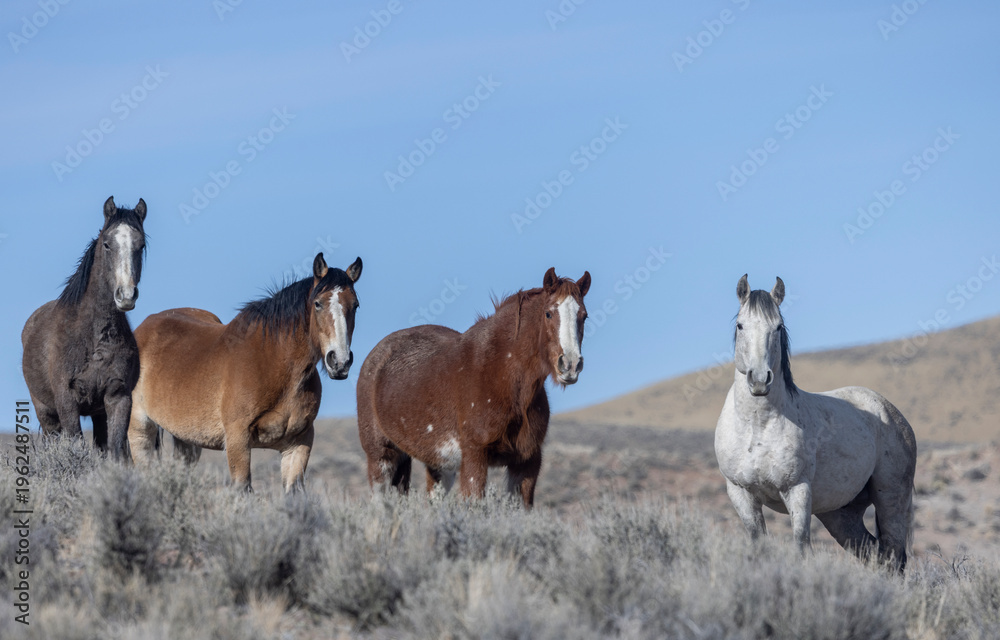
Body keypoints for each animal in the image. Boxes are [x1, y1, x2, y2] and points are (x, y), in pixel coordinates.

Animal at [21, 196, 147, 458]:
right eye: (107, 244)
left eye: (140, 245)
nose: (126, 295)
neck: (94, 339)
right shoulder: (67, 402)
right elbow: (76, 446)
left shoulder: (118, 398)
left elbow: (115, 450)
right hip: (46, 414)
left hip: (98, 415)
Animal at [127, 253, 362, 492]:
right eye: (318, 304)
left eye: (355, 305)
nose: (340, 362)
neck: (275, 364)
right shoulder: (237, 440)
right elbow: (243, 488)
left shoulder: (299, 443)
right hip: (140, 431)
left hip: (186, 439)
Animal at [357, 267, 590, 508]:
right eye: (548, 314)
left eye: (583, 316)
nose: (570, 365)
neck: (504, 376)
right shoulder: (474, 457)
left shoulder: (527, 462)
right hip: (381, 457)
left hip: (438, 466)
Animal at [714, 275, 917, 570]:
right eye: (741, 325)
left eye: (778, 326)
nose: (760, 380)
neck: (757, 427)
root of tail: (891, 412)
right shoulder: (741, 493)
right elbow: (759, 545)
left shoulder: (797, 490)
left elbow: (801, 546)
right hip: (840, 514)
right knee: (873, 553)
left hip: (891, 498)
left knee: (893, 555)